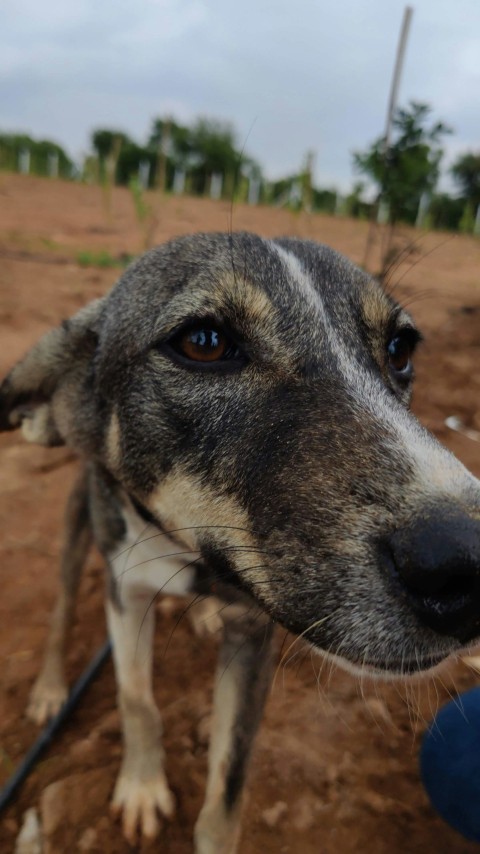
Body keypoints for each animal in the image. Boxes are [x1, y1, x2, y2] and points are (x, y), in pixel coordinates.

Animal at [0, 231, 480, 852]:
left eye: (400, 349)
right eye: (203, 343)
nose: (469, 560)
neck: (185, 548)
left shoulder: (253, 633)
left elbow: (228, 784)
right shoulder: (125, 592)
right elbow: (137, 700)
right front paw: (142, 786)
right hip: (80, 527)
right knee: (61, 607)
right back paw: (51, 687)